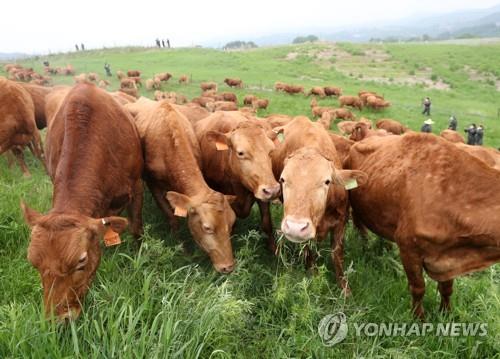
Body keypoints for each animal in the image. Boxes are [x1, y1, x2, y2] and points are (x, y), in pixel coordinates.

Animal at [272, 116, 370, 294]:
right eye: (283, 179)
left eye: (327, 181)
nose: (295, 227)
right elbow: (309, 251)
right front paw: (314, 275)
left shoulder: (341, 222)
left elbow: (337, 254)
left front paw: (345, 288)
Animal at [346, 134, 500, 320]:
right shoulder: (408, 248)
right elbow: (418, 288)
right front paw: (419, 318)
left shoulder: (447, 257)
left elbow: (447, 288)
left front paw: (446, 313)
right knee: (358, 223)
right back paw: (364, 244)